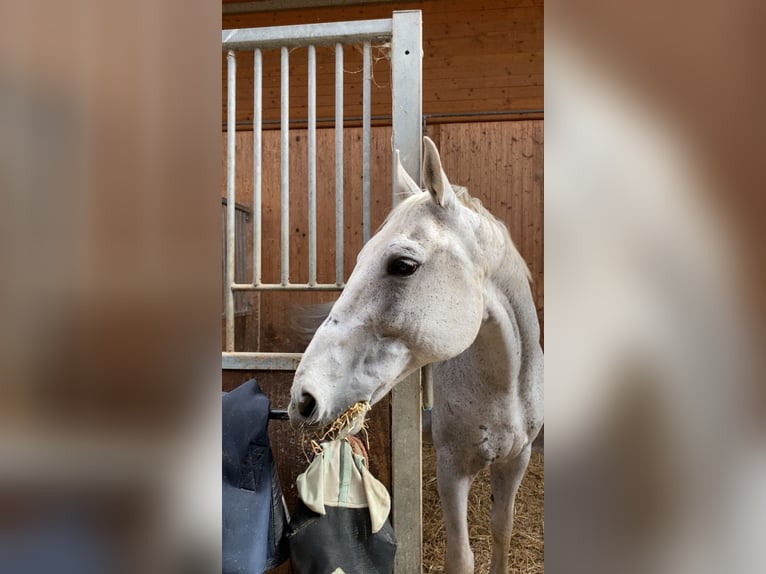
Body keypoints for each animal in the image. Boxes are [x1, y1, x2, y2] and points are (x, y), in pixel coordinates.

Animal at [288, 136, 543, 574]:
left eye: (403, 264)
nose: (304, 397)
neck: (503, 389)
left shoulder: (517, 460)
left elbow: (502, 530)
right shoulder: (451, 468)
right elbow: (461, 556)